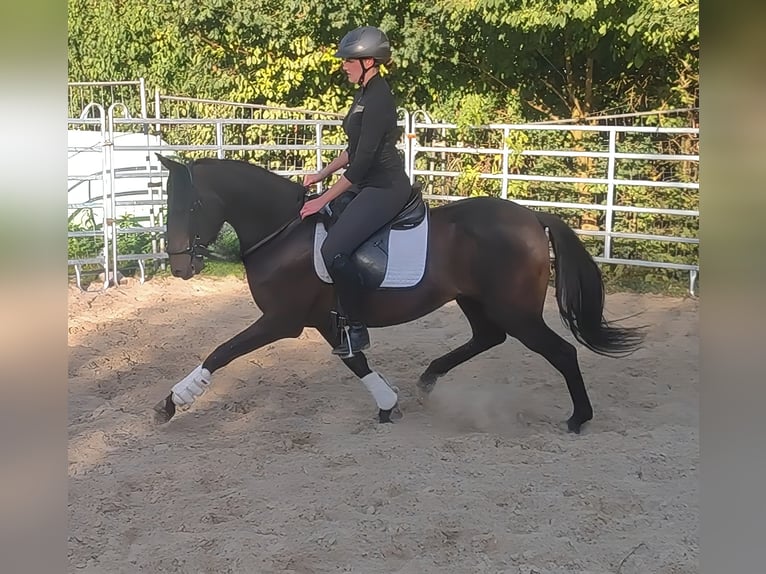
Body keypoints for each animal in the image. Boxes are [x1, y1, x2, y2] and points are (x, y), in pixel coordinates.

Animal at [152, 154, 643, 434]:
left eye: (192, 205)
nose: (179, 267)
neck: (285, 232)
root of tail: (532, 218)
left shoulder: (281, 321)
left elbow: (221, 352)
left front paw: (171, 404)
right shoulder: (327, 321)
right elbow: (357, 362)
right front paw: (388, 405)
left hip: (516, 310)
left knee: (561, 352)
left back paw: (579, 419)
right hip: (476, 301)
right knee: (488, 338)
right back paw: (428, 379)